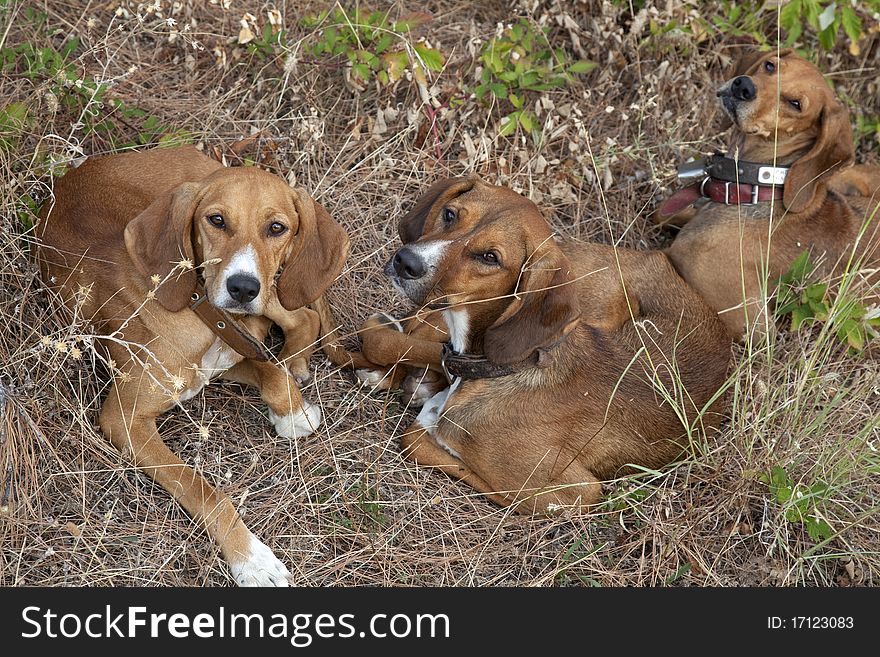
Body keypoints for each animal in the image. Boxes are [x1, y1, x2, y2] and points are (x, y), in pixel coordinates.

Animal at [37, 146, 348, 588]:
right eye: (216, 220)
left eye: (277, 227)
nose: (242, 288)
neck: (206, 316)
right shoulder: (125, 418)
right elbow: (203, 489)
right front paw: (252, 559)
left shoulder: (229, 353)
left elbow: (270, 366)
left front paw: (292, 409)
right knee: (301, 321)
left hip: (274, 290)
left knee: (302, 316)